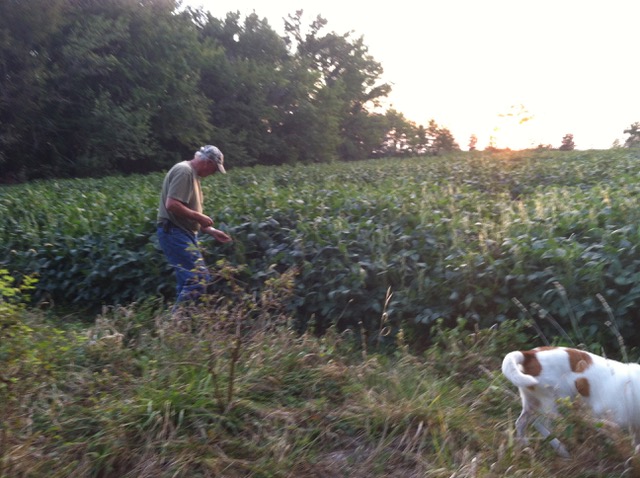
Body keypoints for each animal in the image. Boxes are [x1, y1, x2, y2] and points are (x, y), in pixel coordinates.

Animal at [500, 348, 640, 456]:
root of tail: (530, 355)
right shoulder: (607, 416)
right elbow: (608, 427)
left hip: (532, 403)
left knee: (521, 423)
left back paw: (524, 446)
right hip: (557, 403)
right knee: (540, 424)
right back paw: (562, 450)